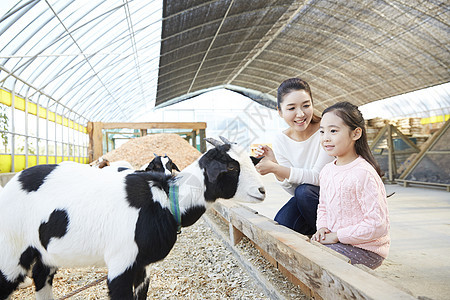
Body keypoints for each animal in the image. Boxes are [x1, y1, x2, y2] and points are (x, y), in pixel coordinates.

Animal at [0, 137, 266, 298]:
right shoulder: (121, 263)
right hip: (11, 252)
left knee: (40, 277)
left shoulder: (142, 267)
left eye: (250, 162)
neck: (164, 199)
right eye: (231, 167)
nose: (262, 191)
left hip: (44, 252)